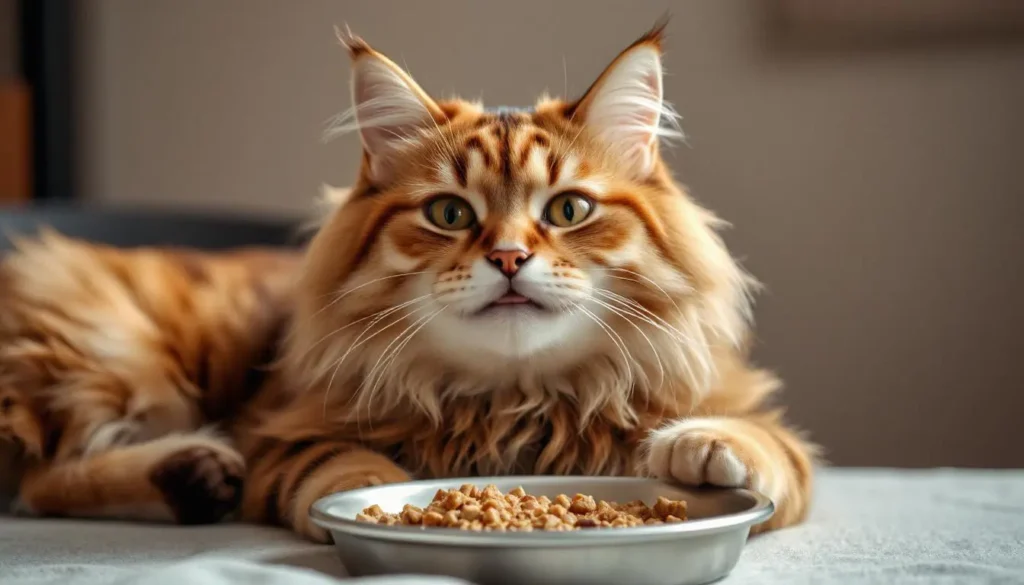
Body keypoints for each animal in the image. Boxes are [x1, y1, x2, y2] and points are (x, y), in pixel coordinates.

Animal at [0, 22, 815, 545]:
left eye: (568, 210)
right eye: (450, 213)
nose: (509, 257)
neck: (514, 404)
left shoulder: (750, 413)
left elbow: (771, 446)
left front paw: (701, 443)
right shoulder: (284, 430)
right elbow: (335, 462)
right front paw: (369, 491)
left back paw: (192, 478)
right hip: (120, 360)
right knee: (36, 486)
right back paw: (196, 474)